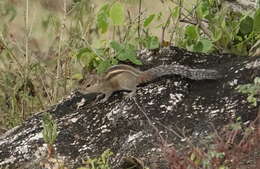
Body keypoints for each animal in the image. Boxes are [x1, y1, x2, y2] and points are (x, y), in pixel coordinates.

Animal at [78, 64, 220, 101]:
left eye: (88, 85)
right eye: (82, 83)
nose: (79, 91)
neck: (101, 82)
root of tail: (139, 75)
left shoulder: (109, 88)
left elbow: (108, 94)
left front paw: (103, 99)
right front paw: (98, 96)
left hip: (126, 84)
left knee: (135, 87)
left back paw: (130, 94)